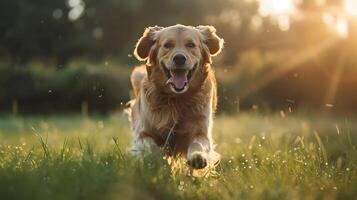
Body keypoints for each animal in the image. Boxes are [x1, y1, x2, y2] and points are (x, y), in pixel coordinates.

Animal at [127, 24, 222, 169]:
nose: (179, 58)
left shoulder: (201, 131)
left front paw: (198, 157)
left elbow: (198, 143)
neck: (176, 100)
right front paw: (159, 163)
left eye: (191, 45)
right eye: (167, 45)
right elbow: (152, 147)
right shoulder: (142, 134)